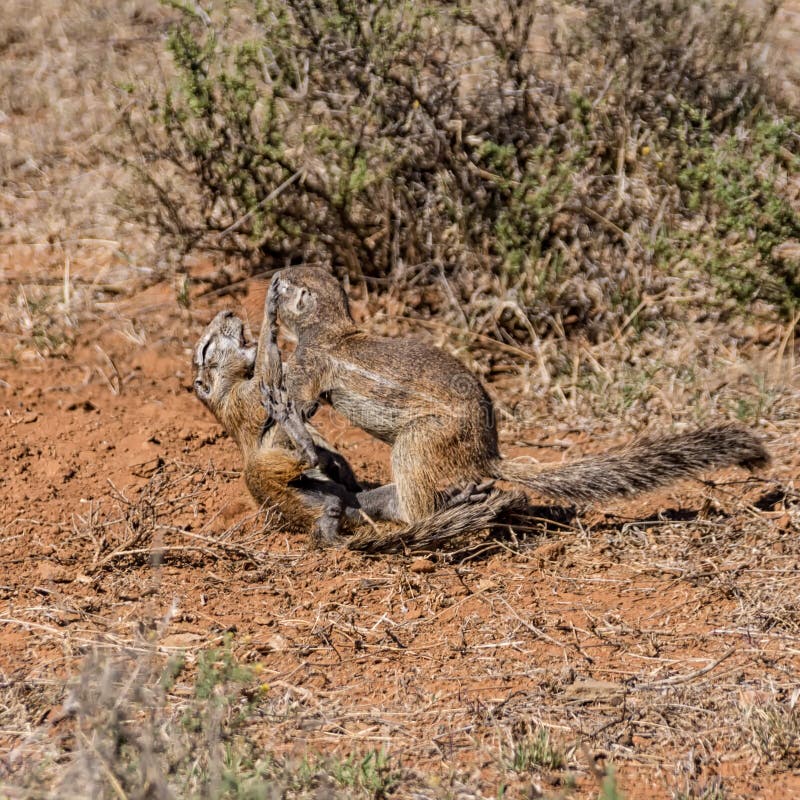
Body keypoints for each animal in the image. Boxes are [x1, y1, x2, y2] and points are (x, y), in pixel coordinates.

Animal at [193, 310, 525, 551]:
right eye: (206, 347)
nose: (228, 311)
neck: (225, 392)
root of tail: (315, 517)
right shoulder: (244, 400)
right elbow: (268, 374)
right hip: (261, 471)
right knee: (301, 462)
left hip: (368, 501)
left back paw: (459, 496)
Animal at [265, 266, 770, 523]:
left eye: (288, 281)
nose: (273, 275)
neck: (331, 328)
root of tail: (488, 456)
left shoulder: (311, 364)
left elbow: (301, 403)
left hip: (422, 442)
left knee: (418, 498)